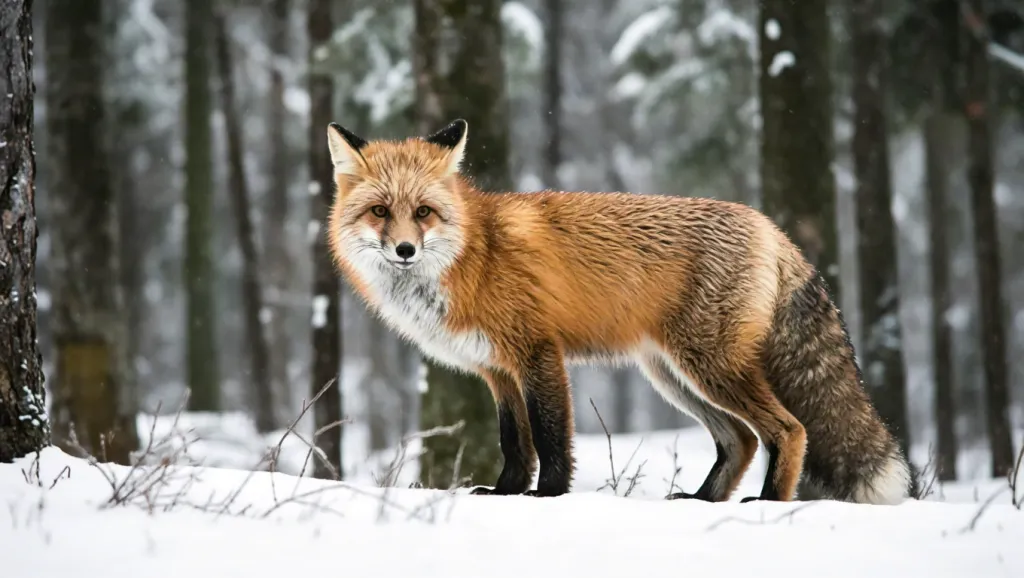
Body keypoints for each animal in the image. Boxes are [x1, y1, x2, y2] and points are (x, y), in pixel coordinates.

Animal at [323, 118, 914, 505]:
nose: (405, 250)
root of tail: (770, 226)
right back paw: (703, 501)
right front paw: (503, 493)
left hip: (709, 367)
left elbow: (550, 437)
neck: (474, 253)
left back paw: (769, 505)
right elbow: (515, 443)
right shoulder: (497, 370)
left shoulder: (538, 354)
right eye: (381, 212)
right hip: (674, 377)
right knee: (740, 438)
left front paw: (549, 497)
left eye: (424, 212)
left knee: (787, 430)